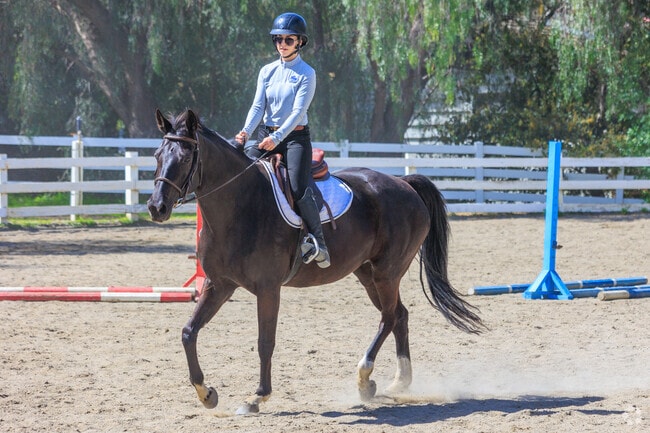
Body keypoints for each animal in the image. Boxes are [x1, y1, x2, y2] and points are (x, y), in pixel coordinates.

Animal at [147, 109, 484, 414]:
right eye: (157, 155)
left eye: (186, 158)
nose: (156, 207)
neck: (241, 206)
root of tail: (404, 183)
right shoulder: (219, 285)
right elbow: (189, 332)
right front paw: (207, 393)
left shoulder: (268, 289)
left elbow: (265, 341)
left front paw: (257, 397)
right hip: (368, 274)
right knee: (399, 315)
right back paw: (399, 381)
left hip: (387, 273)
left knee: (389, 317)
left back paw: (364, 379)